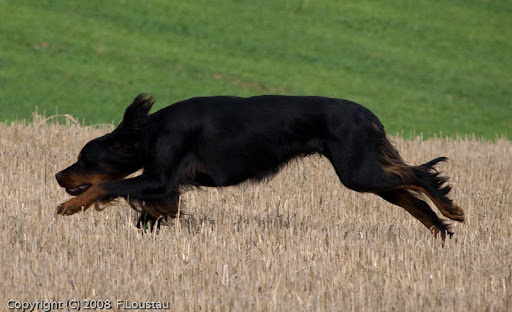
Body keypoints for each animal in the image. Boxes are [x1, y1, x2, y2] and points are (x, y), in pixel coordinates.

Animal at [55, 94, 464, 238]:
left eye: (83, 158)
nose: (59, 175)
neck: (151, 130)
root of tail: (367, 115)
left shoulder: (158, 179)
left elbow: (104, 185)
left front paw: (69, 206)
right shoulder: (164, 186)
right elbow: (150, 212)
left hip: (358, 172)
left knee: (420, 175)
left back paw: (451, 212)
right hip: (365, 172)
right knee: (408, 195)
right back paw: (441, 231)